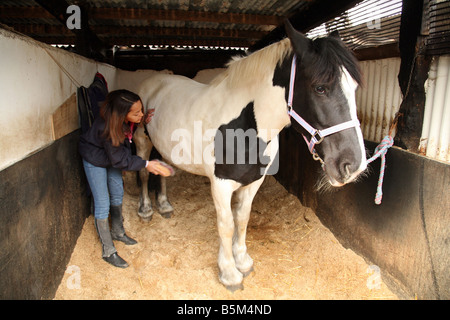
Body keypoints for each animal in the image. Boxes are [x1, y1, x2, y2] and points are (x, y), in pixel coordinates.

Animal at [133, 20, 366, 290]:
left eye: (354, 87)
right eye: (320, 88)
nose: (353, 164)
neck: (244, 125)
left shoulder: (253, 182)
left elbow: (242, 219)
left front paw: (242, 261)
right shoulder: (221, 184)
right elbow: (226, 225)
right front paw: (229, 273)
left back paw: (164, 205)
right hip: (142, 141)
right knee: (143, 173)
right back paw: (146, 210)